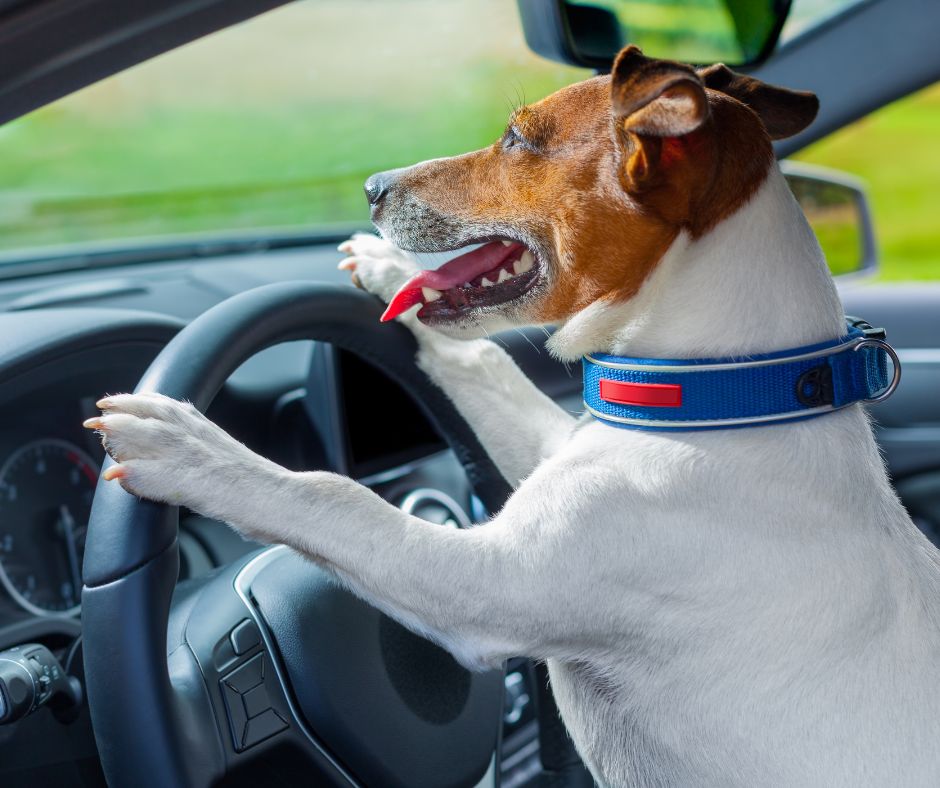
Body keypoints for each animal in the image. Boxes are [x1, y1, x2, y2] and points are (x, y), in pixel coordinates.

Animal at [88, 49, 940, 788]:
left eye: (518, 137)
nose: (370, 186)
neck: (728, 398)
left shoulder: (484, 583)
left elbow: (334, 497)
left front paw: (194, 448)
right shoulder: (561, 448)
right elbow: (484, 364)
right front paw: (390, 272)